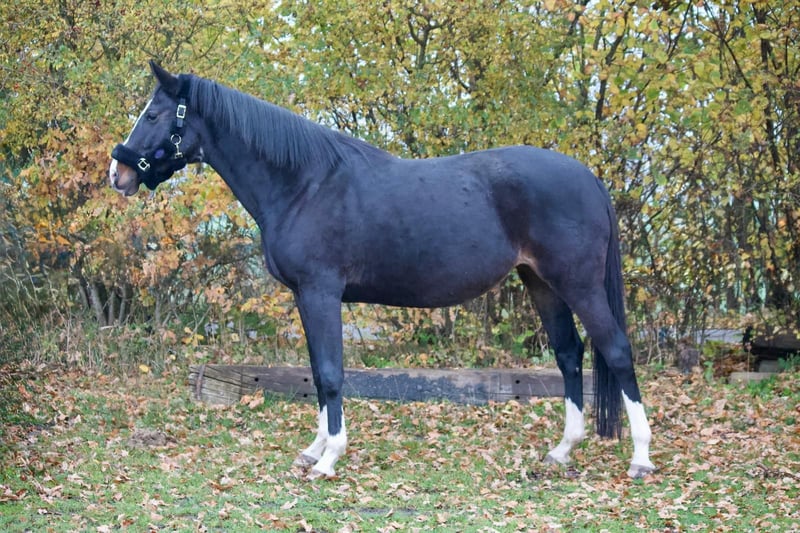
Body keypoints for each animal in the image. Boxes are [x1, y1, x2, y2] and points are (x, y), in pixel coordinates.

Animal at [109, 62, 655, 480]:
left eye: (153, 113)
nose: (118, 172)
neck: (303, 184)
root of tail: (588, 178)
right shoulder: (305, 297)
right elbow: (317, 372)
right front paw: (314, 448)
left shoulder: (321, 292)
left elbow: (332, 374)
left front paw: (329, 459)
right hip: (541, 282)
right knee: (569, 355)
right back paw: (562, 450)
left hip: (578, 283)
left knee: (616, 351)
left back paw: (641, 459)